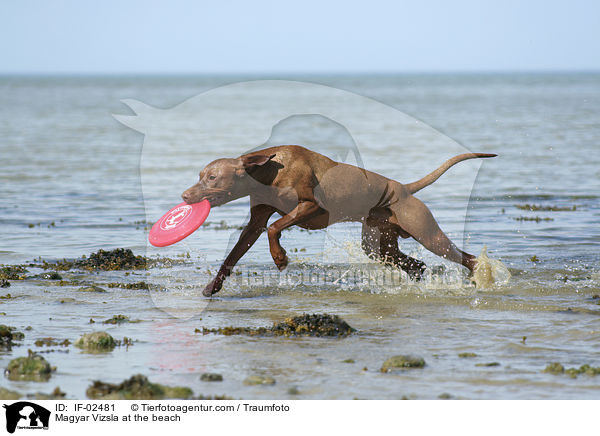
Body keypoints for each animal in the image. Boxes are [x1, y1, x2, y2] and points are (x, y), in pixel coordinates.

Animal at [182, 146, 496, 296]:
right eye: (200, 175)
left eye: (213, 177)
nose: (185, 196)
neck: (269, 170)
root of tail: (404, 188)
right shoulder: (255, 222)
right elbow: (232, 256)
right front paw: (212, 287)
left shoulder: (310, 206)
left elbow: (274, 227)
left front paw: (280, 257)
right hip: (378, 244)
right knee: (416, 265)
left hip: (428, 234)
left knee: (466, 258)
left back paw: (481, 277)